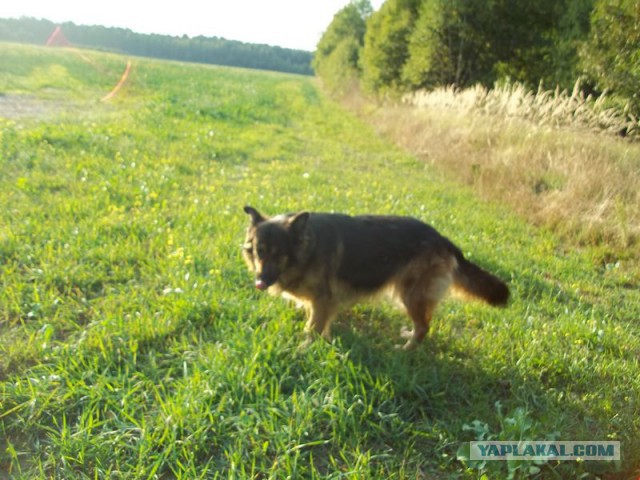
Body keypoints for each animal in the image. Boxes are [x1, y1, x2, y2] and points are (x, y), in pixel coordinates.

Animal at [242, 205, 508, 348]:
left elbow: (313, 327)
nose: (260, 282)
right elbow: (317, 323)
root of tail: (442, 239)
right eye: (259, 251)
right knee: (423, 324)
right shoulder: (319, 303)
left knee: (424, 326)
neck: (308, 247)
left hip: (410, 294)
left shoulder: (322, 300)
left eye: (279, 254)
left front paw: (304, 349)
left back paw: (406, 349)